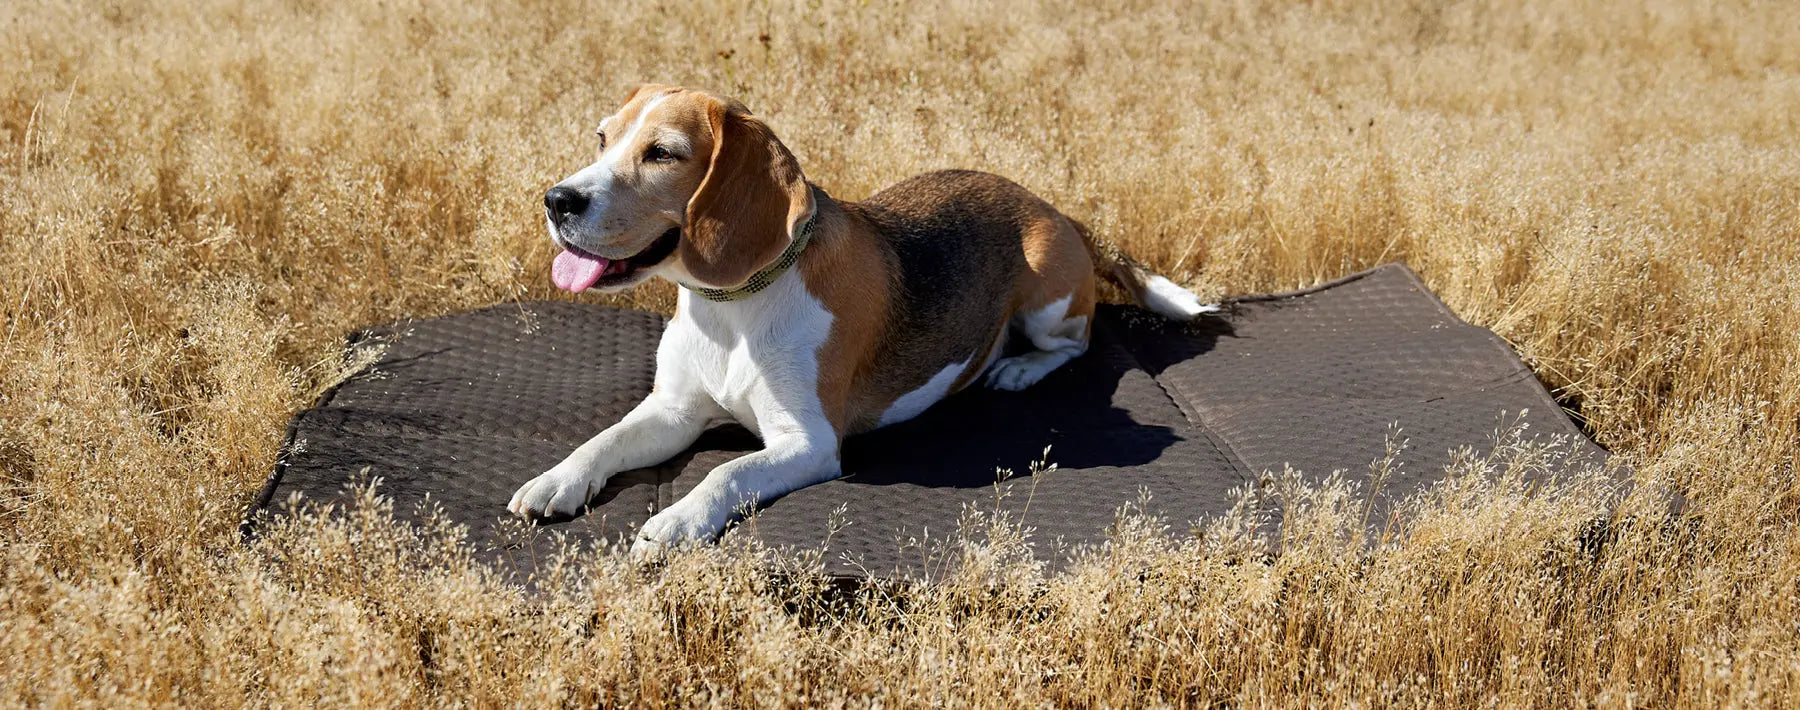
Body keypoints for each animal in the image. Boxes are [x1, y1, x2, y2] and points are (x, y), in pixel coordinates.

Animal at [504, 86, 1209, 555]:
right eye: (602, 138)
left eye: (662, 154)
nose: (556, 200)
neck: (732, 309)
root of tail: (1050, 206)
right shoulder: (673, 413)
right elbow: (606, 439)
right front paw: (556, 479)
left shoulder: (808, 443)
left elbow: (727, 471)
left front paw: (678, 520)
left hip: (1046, 300)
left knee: (1077, 341)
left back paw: (1019, 368)